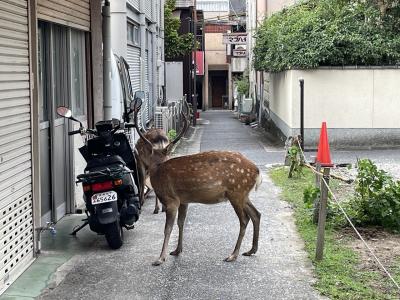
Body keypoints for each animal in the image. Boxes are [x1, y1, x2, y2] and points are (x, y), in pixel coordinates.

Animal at [134, 100, 262, 264]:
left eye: (144, 152)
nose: (136, 151)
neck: (158, 170)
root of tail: (257, 171)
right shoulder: (184, 200)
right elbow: (181, 222)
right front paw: (177, 250)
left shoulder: (171, 199)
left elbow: (167, 228)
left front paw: (160, 258)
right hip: (243, 194)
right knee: (256, 214)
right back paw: (251, 250)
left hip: (236, 191)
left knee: (245, 219)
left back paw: (233, 255)